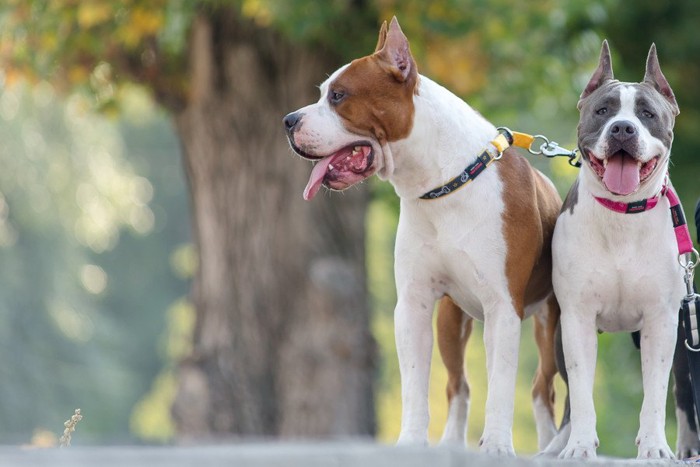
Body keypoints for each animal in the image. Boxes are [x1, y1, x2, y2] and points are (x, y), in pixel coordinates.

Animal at [284, 19, 564, 458]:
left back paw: (549, 444)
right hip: (452, 320)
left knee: (541, 388)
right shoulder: (414, 304)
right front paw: (412, 441)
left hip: (551, 324)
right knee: (458, 385)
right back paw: (452, 442)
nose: (288, 120)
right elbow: (415, 382)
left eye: (339, 95)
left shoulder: (503, 307)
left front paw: (497, 445)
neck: (444, 185)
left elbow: (501, 385)